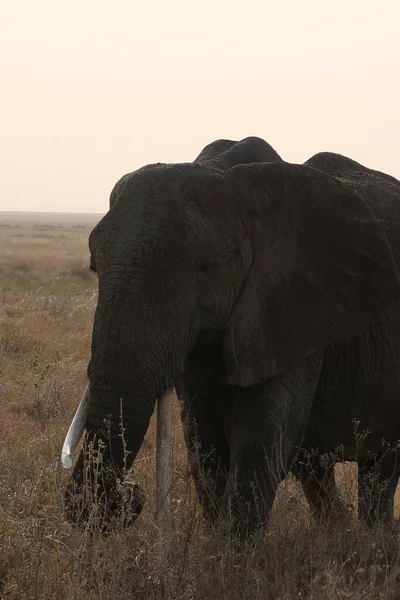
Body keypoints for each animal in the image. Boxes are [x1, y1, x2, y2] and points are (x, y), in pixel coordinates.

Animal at [64, 136, 400, 540]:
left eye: (207, 267)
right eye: (94, 265)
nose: (129, 496)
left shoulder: (288, 304)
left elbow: (259, 437)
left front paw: (235, 555)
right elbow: (204, 442)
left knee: (381, 468)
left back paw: (373, 541)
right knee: (315, 466)